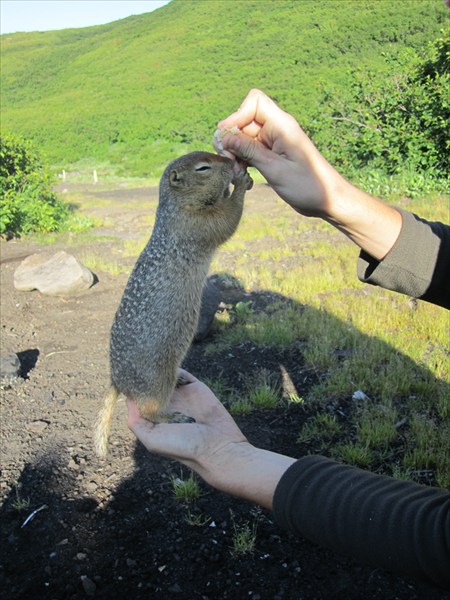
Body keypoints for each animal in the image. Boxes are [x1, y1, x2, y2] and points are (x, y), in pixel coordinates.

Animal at [94, 150, 253, 454]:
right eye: (203, 168)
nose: (231, 163)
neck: (177, 207)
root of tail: (115, 380)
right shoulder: (197, 223)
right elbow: (226, 219)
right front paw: (240, 183)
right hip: (156, 380)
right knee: (147, 411)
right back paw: (173, 416)